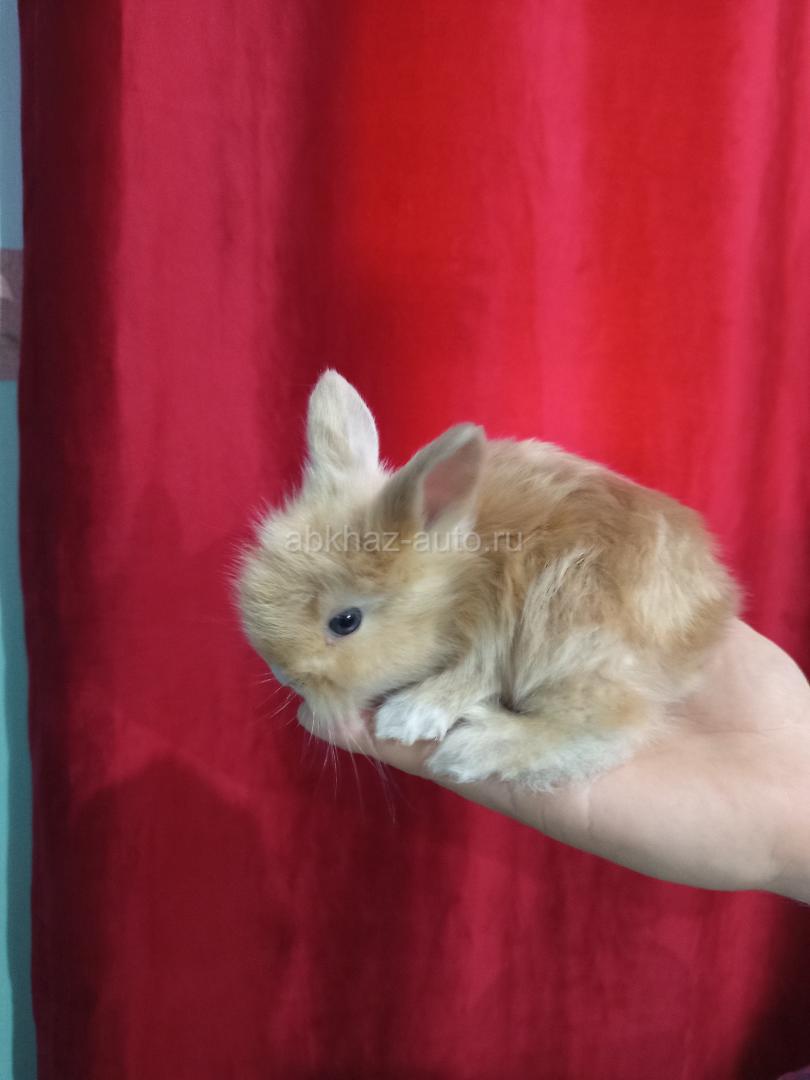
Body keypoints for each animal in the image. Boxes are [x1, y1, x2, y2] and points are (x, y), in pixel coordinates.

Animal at [238, 370, 738, 790]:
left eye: (345, 621)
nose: (283, 675)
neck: (462, 577)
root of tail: (710, 620)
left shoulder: (502, 624)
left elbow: (474, 674)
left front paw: (410, 716)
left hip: (577, 632)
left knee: (611, 724)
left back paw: (474, 748)